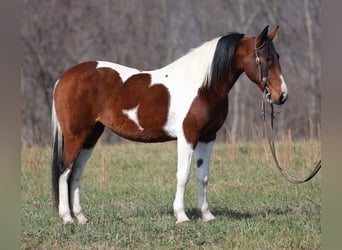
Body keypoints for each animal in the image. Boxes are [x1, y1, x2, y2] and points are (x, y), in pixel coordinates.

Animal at [52, 25, 288, 225]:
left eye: (277, 56)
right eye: (265, 58)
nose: (282, 95)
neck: (203, 86)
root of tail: (64, 78)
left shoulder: (208, 137)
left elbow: (202, 176)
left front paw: (207, 215)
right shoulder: (187, 137)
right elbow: (183, 175)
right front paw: (181, 216)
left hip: (91, 136)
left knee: (76, 173)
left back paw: (81, 217)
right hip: (75, 136)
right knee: (64, 171)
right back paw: (67, 218)